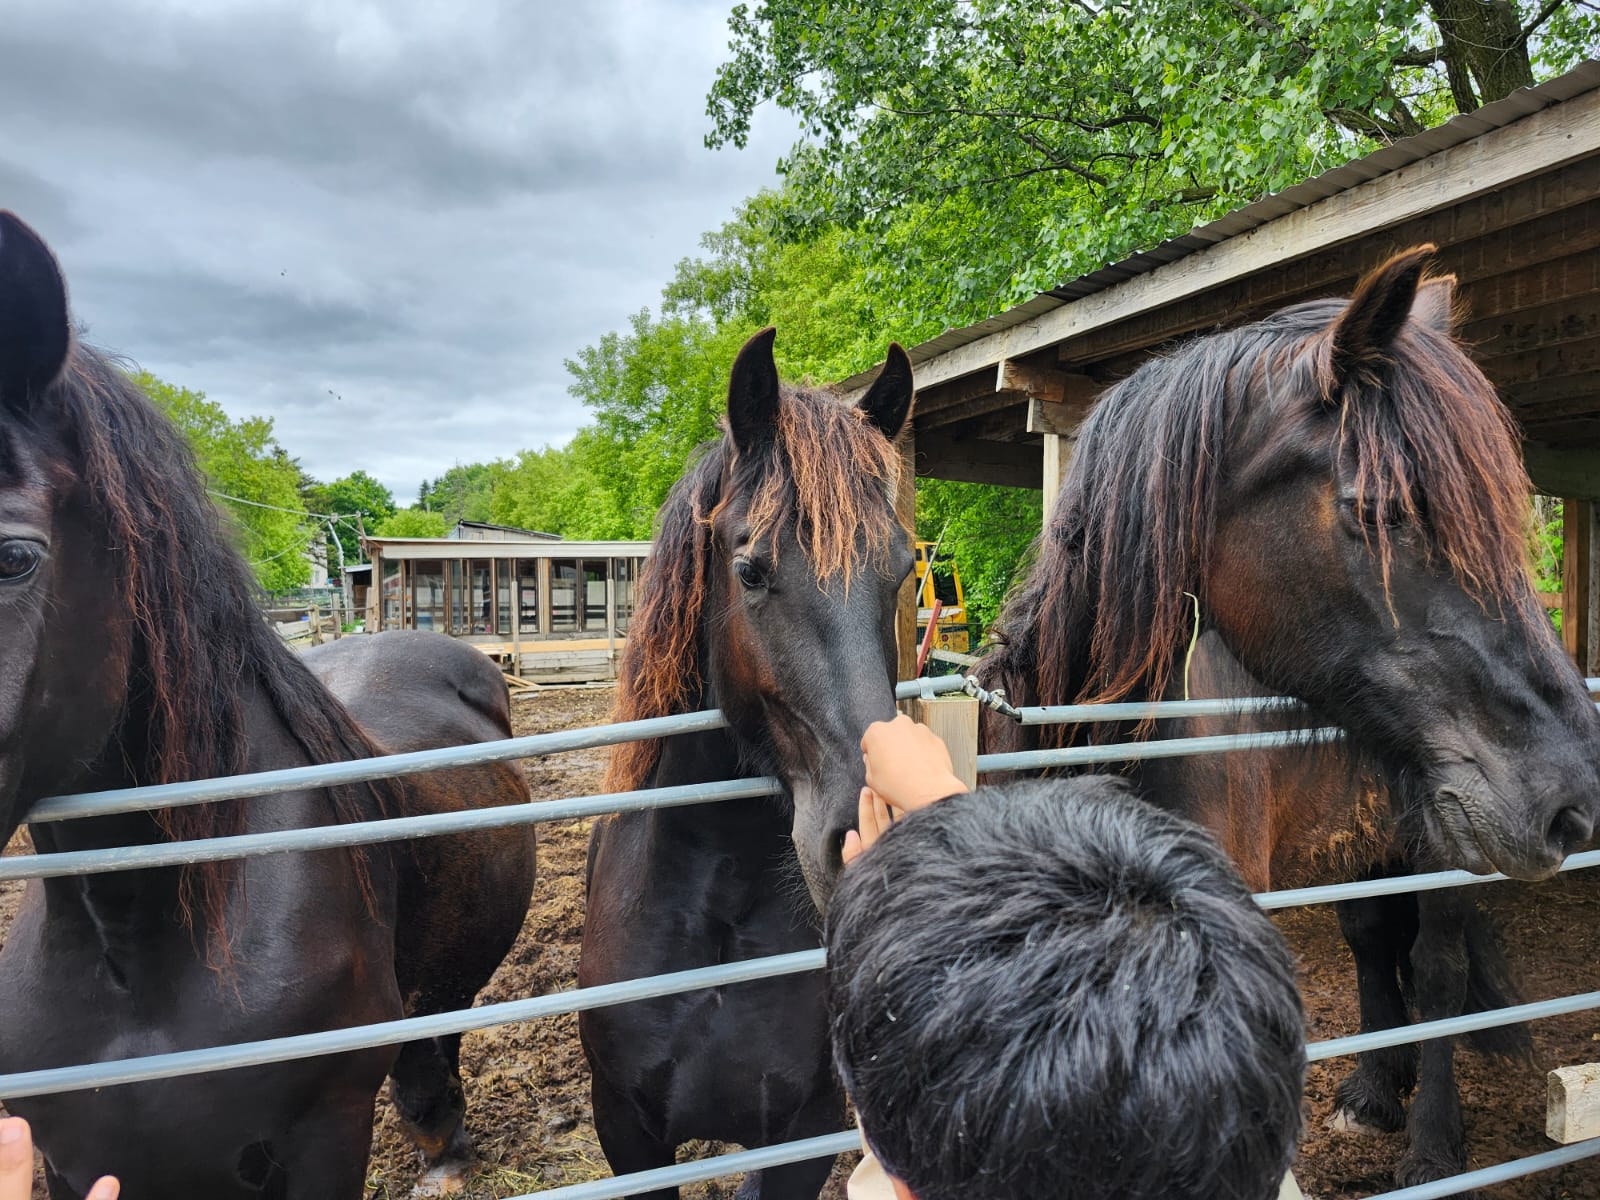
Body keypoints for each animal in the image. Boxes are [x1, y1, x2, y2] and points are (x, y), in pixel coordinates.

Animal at [979, 246, 1600, 1191]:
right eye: (1380, 510)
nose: (1574, 796)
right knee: (1372, 941)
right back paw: (1375, 1090)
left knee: (1438, 968)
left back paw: (1432, 1142)